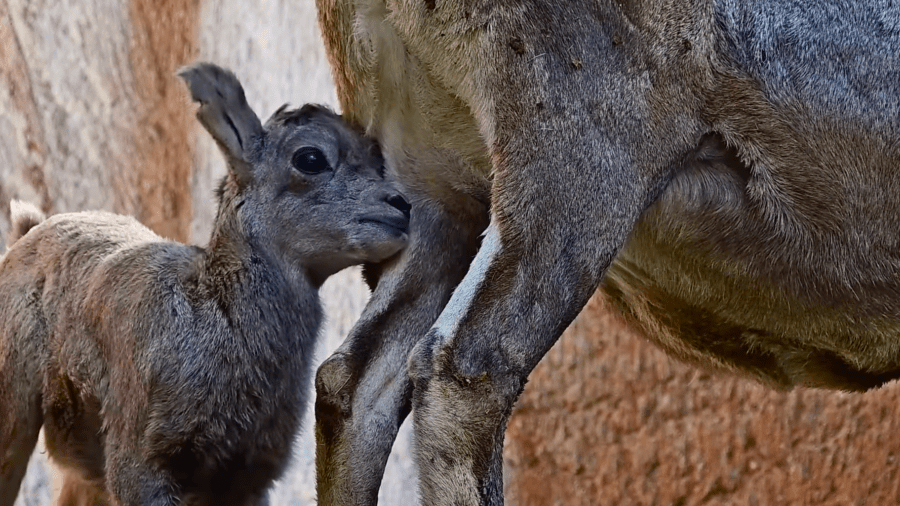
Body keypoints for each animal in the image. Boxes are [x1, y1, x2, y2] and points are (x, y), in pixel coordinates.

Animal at [0, 63, 412, 506]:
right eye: (311, 158)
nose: (400, 207)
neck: (210, 317)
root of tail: (29, 230)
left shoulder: (246, 478)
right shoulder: (140, 466)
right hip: (15, 412)